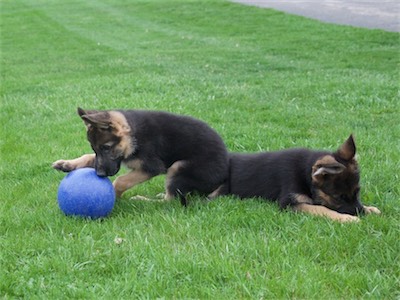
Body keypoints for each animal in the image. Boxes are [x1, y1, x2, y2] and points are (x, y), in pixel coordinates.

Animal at [52, 106, 228, 205]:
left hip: (178, 166)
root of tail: (224, 177)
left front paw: (113, 196)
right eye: (96, 149)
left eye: (107, 147)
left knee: (171, 201)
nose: (99, 174)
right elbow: (88, 157)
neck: (133, 135)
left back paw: (145, 200)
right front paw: (67, 164)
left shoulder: (151, 167)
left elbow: (121, 180)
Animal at [220, 136, 380, 223]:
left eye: (357, 192)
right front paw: (346, 218)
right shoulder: (289, 203)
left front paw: (370, 209)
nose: (361, 212)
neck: (305, 174)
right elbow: (321, 208)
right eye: (339, 197)